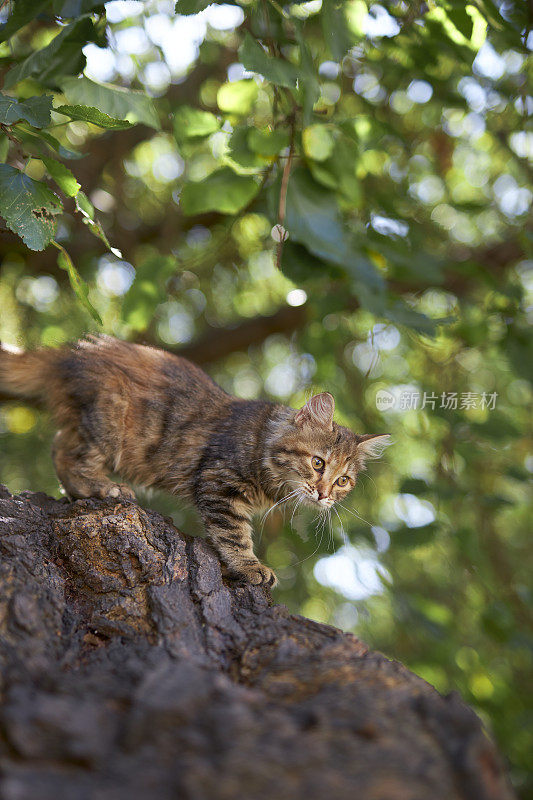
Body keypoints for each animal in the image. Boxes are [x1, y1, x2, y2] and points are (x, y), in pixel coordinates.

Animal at [1, 334, 390, 584]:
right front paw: (251, 567)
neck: (264, 449)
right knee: (68, 454)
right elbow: (234, 535)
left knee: (58, 445)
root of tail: (72, 353)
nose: (324, 495)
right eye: (318, 463)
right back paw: (100, 489)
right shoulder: (220, 484)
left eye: (343, 481)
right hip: (107, 424)